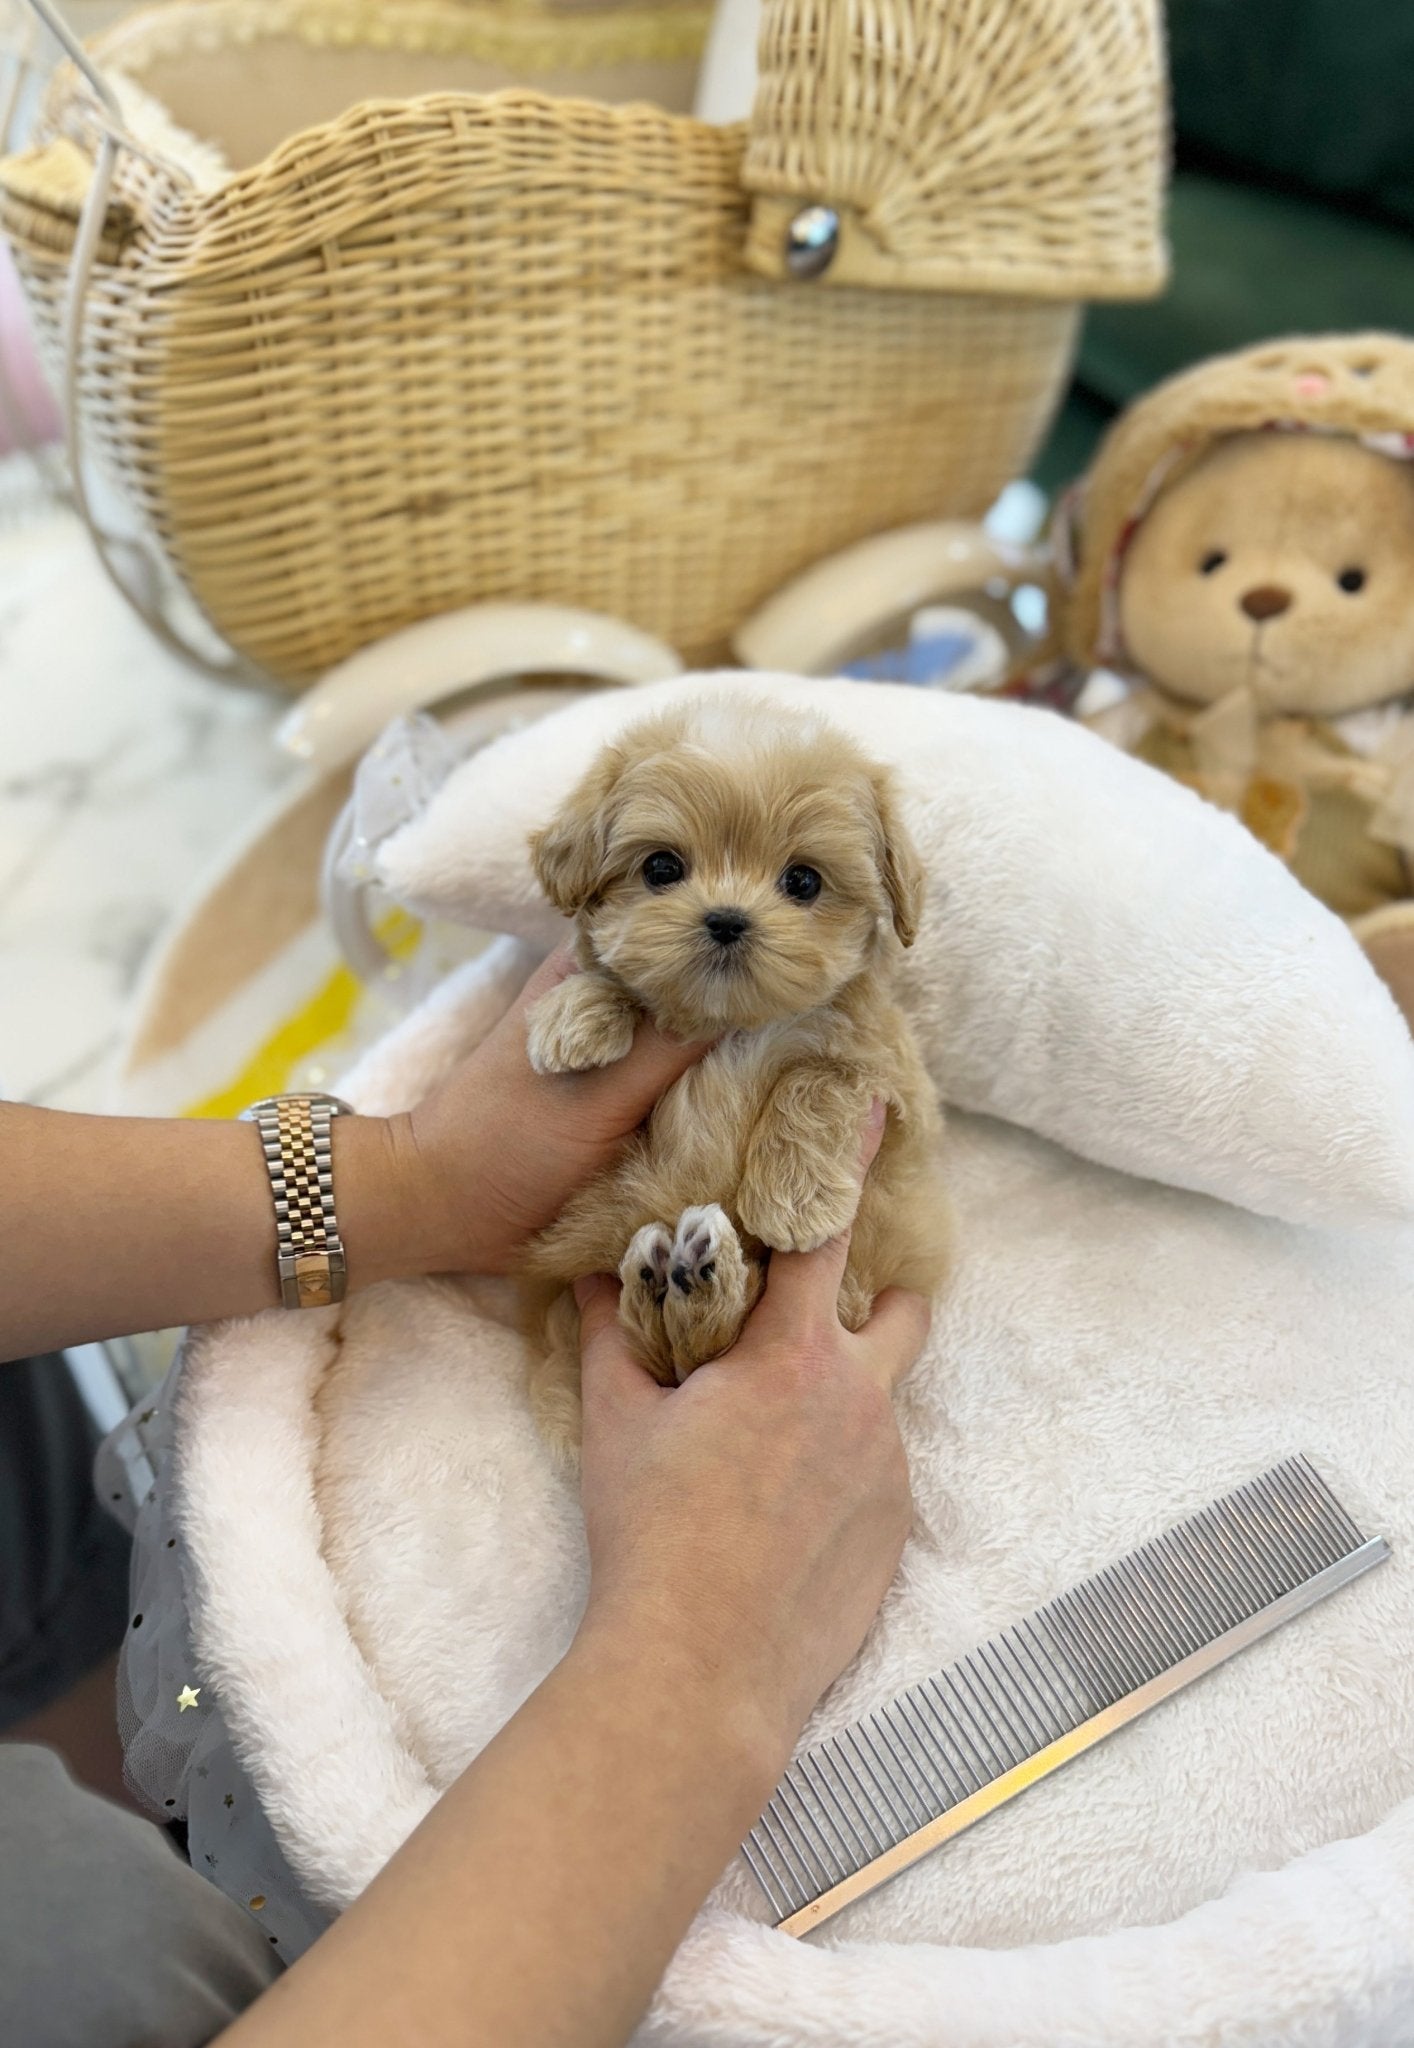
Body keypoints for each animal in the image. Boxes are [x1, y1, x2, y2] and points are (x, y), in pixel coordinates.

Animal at [518, 704, 946, 1458]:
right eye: (662, 867)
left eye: (803, 882)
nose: (725, 919)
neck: (736, 1022)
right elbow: (611, 975)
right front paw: (575, 1015)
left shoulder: (895, 1089)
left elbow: (818, 1077)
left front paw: (795, 1202)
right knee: (672, 1356)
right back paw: (669, 1279)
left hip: (853, 1285)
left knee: (704, 1352)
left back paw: (697, 1280)